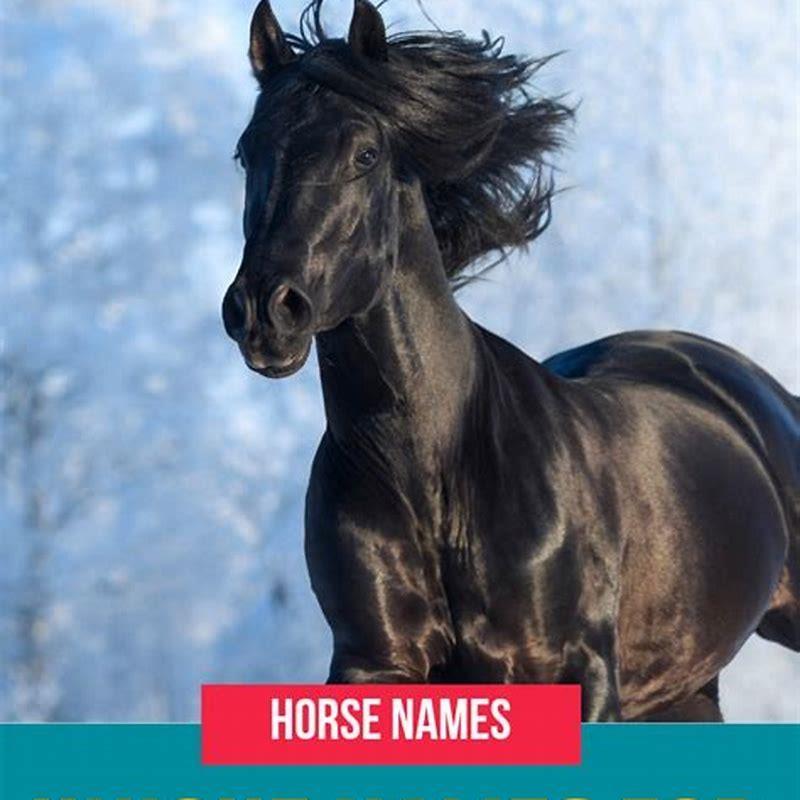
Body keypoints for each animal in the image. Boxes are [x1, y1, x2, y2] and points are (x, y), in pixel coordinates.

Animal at [222, 0, 799, 721]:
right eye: (247, 151)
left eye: (366, 152)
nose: (265, 310)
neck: (437, 477)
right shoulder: (374, 665)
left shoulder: (578, 674)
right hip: (685, 685)